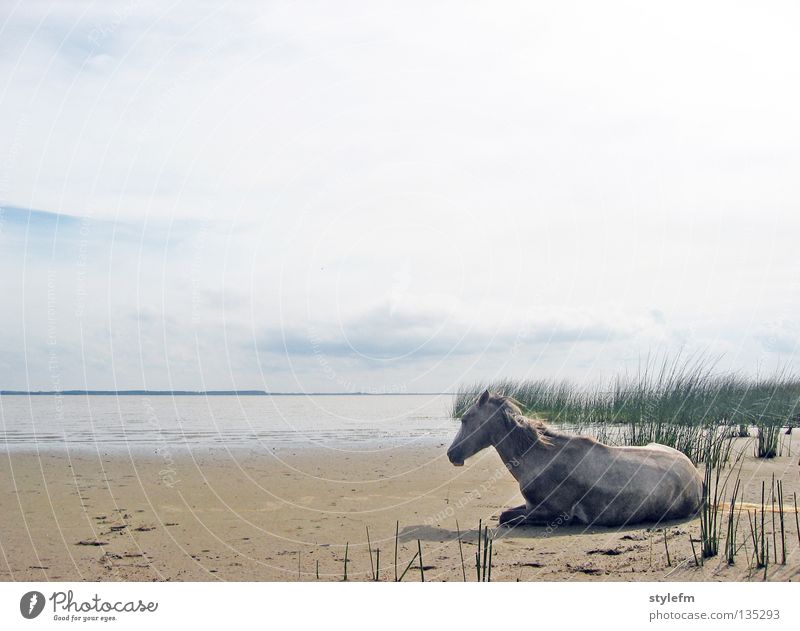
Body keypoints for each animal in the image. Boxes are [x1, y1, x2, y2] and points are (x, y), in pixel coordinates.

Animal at [446, 390, 704, 528]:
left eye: (465, 419)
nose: (451, 454)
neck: (540, 458)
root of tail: (698, 478)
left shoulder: (555, 514)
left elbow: (504, 517)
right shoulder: (531, 506)